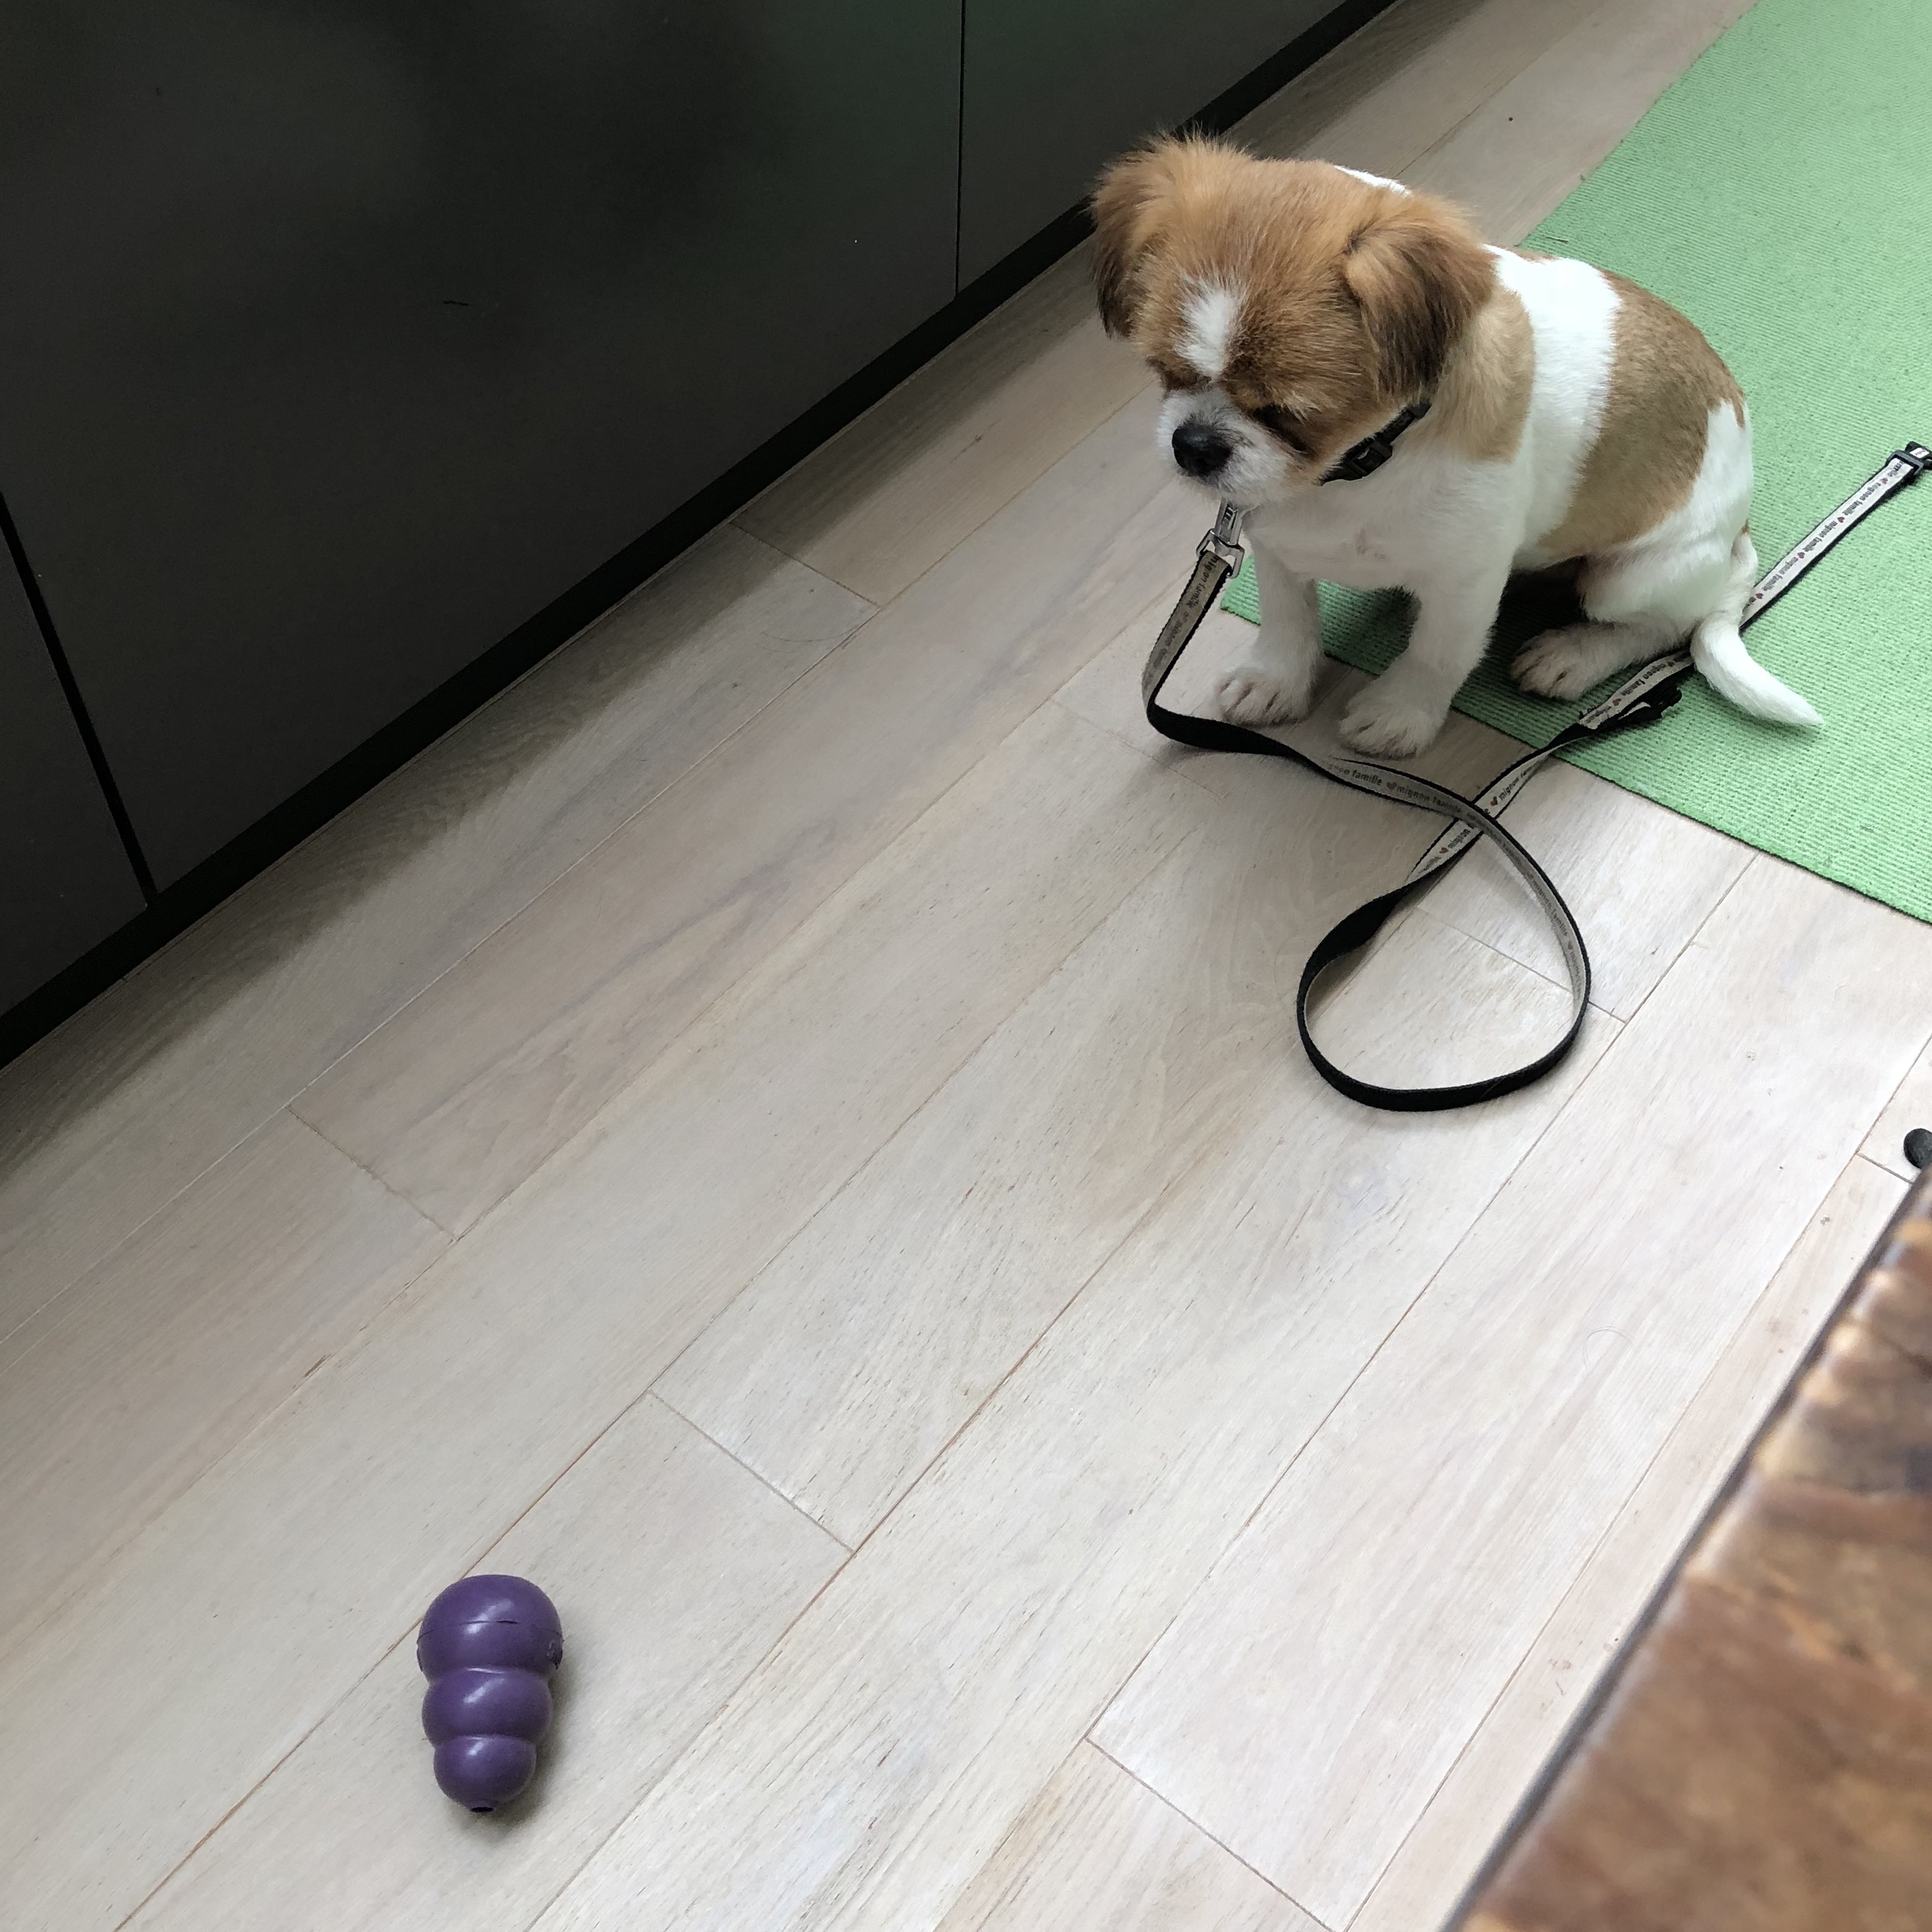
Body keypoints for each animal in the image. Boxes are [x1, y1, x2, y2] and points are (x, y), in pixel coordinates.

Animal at [1093, 135, 1818, 756]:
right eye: (1166, 372)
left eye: (1289, 412)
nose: (1194, 445)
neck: (1353, 472)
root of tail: (1738, 535)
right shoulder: (1276, 546)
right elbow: (1287, 622)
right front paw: (1275, 679)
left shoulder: (1464, 584)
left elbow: (1436, 653)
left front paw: (1400, 714)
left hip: (1629, 576)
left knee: (1660, 628)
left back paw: (1571, 655)